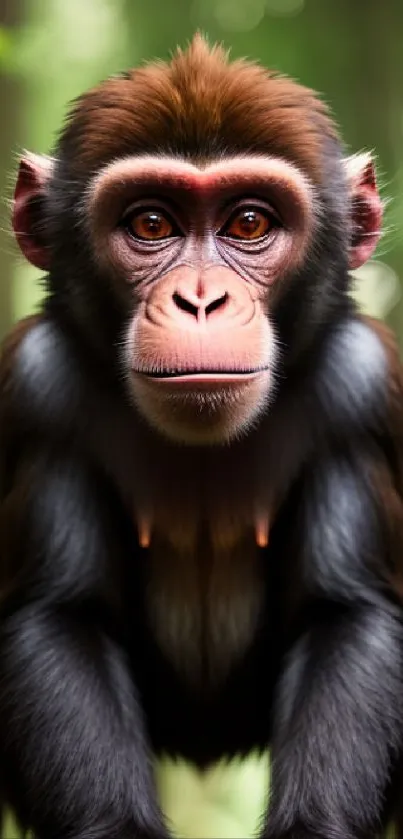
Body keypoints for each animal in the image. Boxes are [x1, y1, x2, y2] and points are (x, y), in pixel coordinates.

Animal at [0, 29, 403, 836]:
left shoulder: (359, 387)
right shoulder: (39, 388)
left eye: (248, 224)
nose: (199, 299)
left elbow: (345, 615)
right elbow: (63, 617)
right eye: (151, 225)